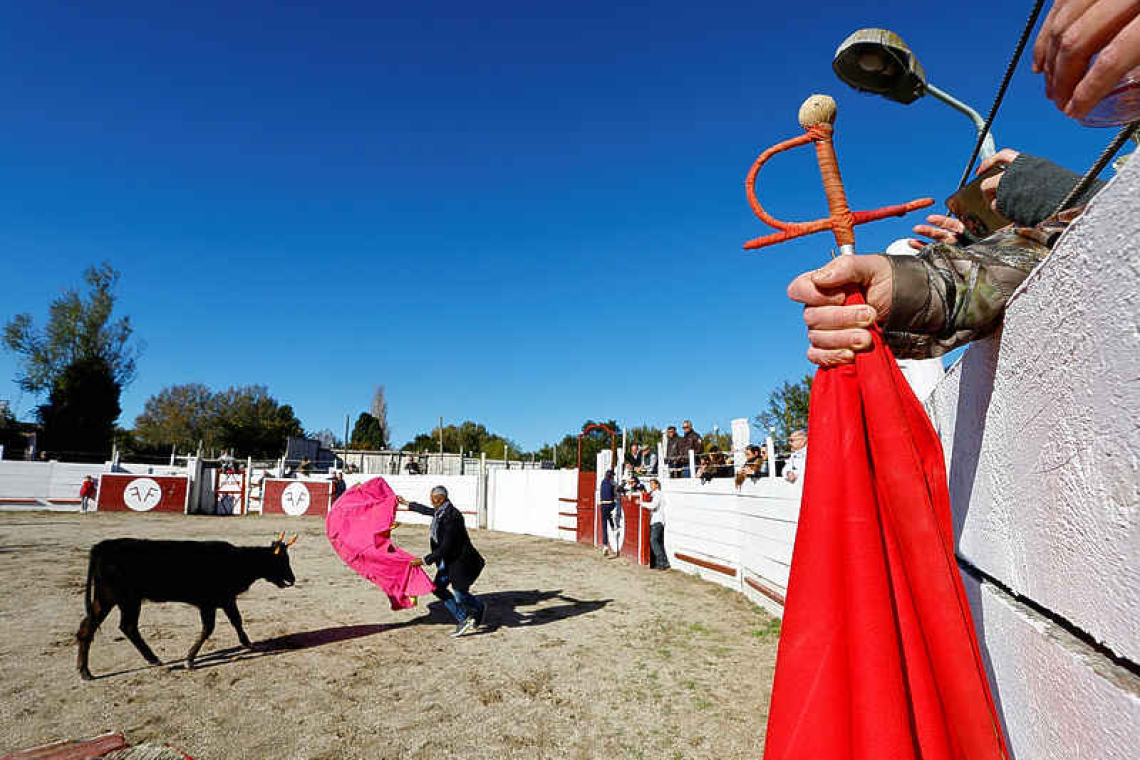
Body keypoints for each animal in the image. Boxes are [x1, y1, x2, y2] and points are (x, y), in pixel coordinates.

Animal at [76, 535, 296, 683]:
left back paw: (87, 670)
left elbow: (236, 619)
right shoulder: (208, 603)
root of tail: (102, 546)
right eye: (282, 561)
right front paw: (189, 660)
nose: (292, 579)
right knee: (123, 626)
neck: (237, 561)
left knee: (94, 627)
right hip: (120, 599)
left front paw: (247, 642)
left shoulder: (226, 599)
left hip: (112, 599)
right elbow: (208, 628)